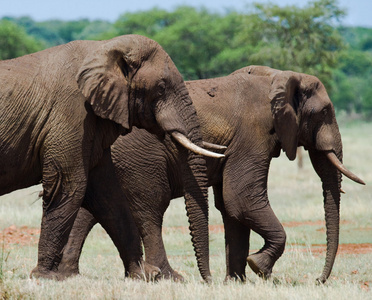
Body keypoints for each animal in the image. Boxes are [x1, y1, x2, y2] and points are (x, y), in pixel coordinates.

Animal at [0, 34, 224, 282]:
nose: (209, 281)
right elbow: (68, 185)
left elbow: (108, 194)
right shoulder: (71, 114)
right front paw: (45, 277)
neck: (104, 46)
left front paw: (143, 275)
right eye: (161, 87)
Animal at [57, 64, 364, 282]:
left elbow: (230, 207)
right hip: (139, 157)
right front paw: (259, 268)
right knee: (150, 207)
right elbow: (240, 198)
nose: (319, 280)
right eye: (324, 112)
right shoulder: (253, 135)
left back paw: (73, 274)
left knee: (98, 208)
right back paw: (168, 278)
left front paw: (237, 282)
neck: (281, 76)